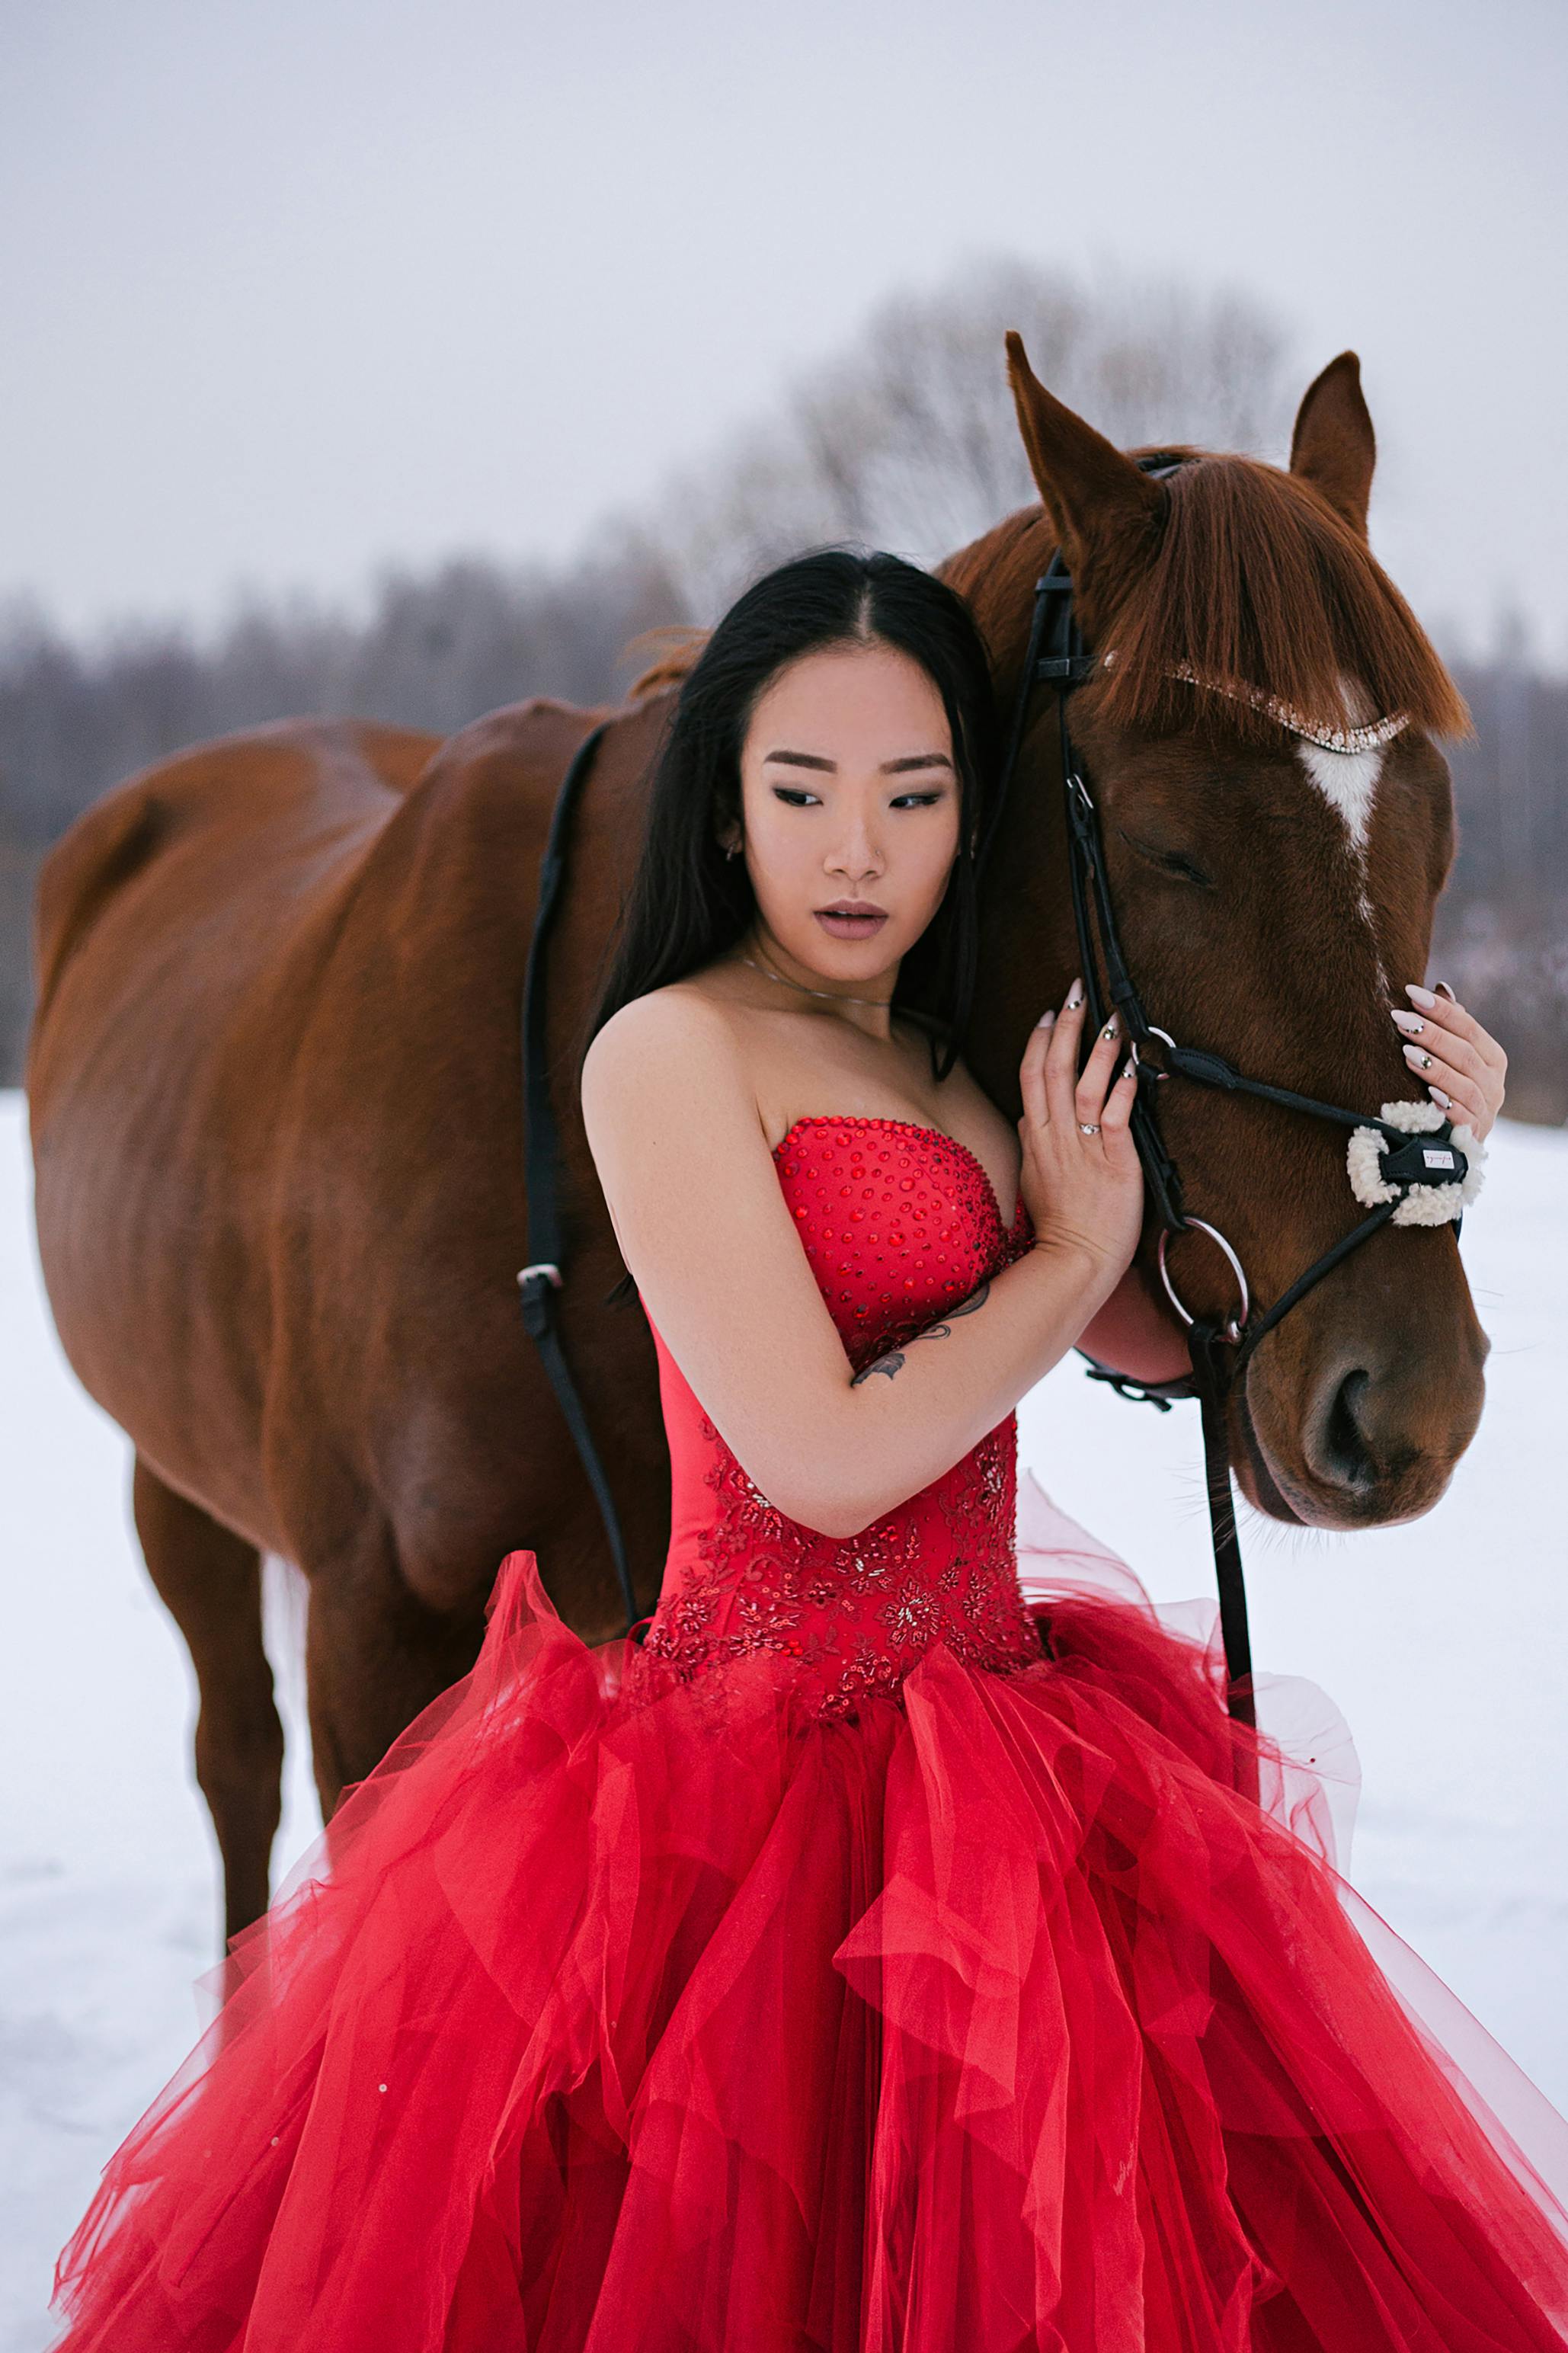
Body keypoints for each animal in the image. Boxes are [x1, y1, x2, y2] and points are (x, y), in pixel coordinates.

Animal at [27, 341, 1478, 1938]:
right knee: (232, 1759)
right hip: (175, 1486)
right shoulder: (376, 1641)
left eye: (1435, 829)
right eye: (1167, 843)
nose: (1410, 1404)